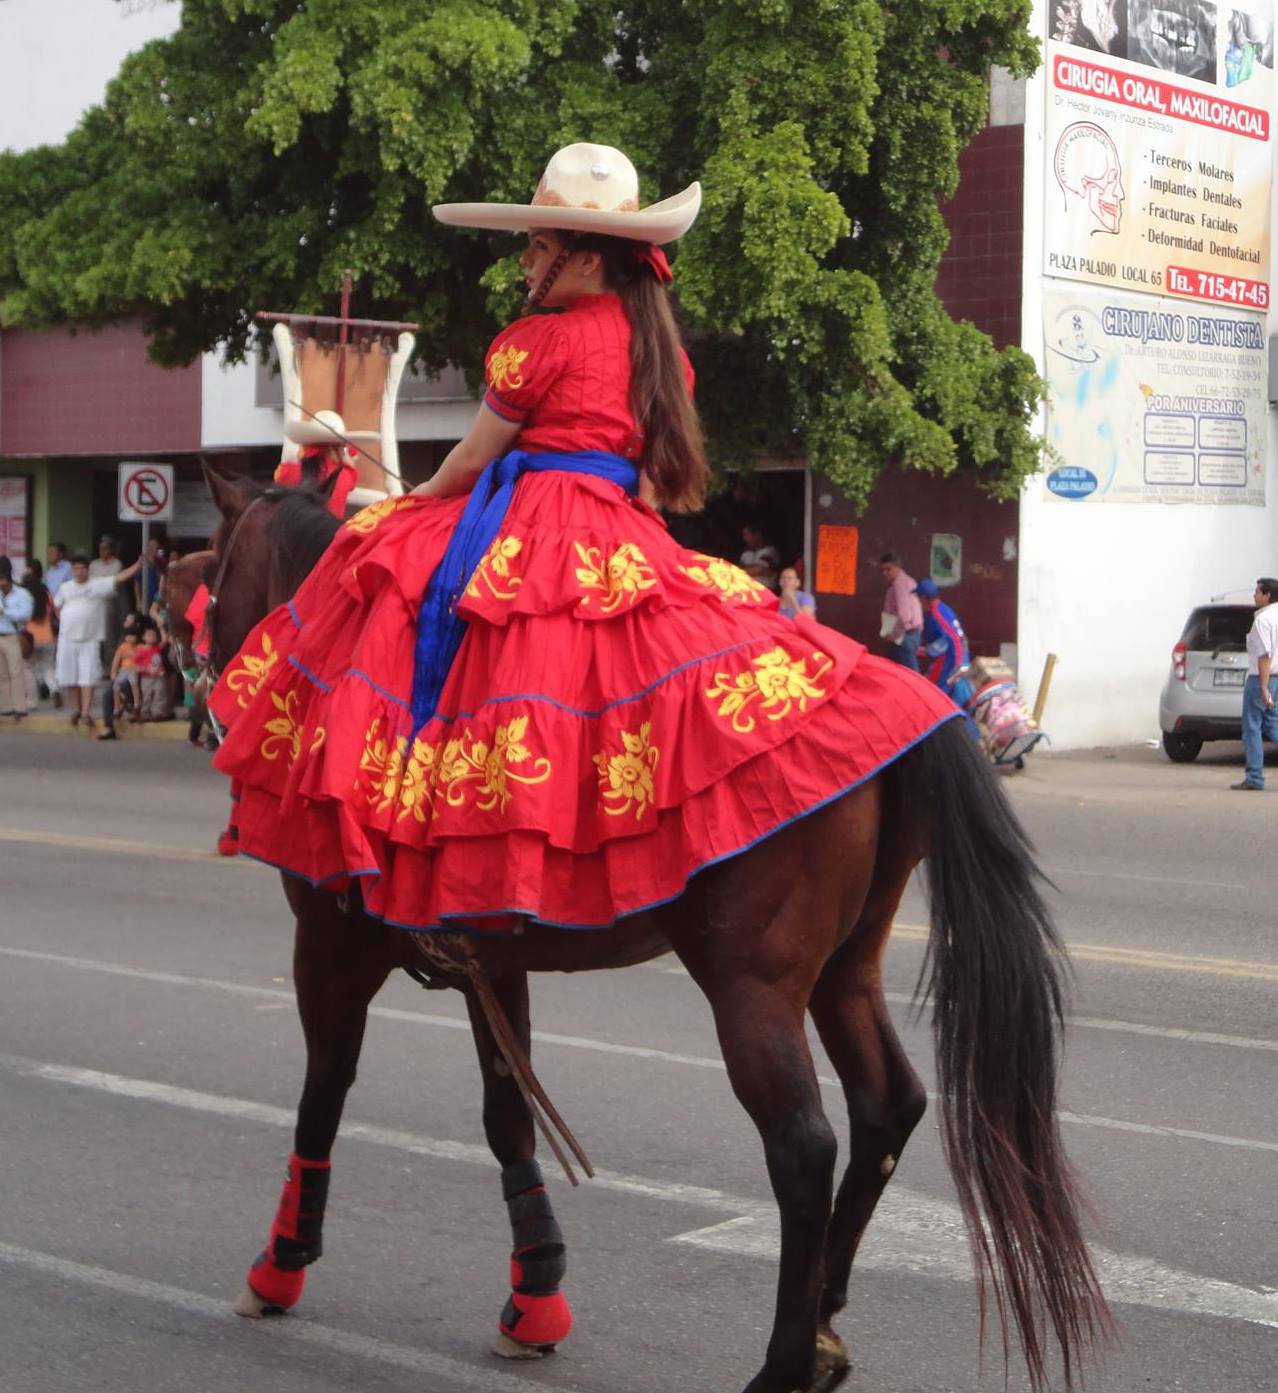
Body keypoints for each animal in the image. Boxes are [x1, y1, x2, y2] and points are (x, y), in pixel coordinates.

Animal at [204, 465, 1109, 1393]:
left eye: (206, 567)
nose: (205, 679)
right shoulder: (492, 964)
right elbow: (507, 1114)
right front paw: (534, 1298)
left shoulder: (328, 949)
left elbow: (323, 1093)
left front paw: (279, 1265)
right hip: (844, 968)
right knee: (887, 1106)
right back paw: (823, 1323)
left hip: (752, 986)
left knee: (803, 1146)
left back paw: (782, 1364)